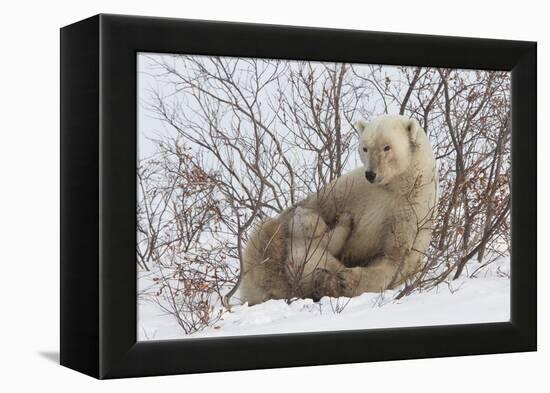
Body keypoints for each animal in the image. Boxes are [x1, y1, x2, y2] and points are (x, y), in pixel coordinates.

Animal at [239, 113, 438, 304]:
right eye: (365, 148)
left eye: (387, 147)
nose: (371, 174)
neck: (395, 186)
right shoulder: (350, 189)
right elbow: (317, 206)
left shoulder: (410, 211)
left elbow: (394, 259)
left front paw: (345, 281)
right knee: (268, 235)